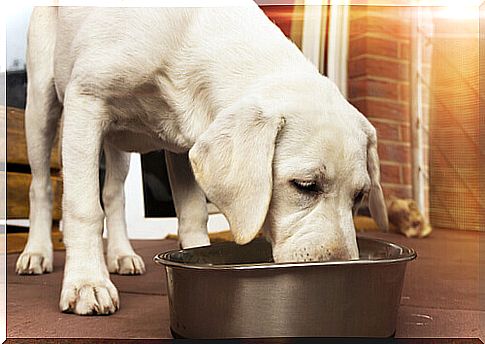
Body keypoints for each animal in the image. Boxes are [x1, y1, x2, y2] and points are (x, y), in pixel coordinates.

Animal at [17, 3, 388, 314]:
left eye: (360, 196)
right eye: (305, 185)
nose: (342, 267)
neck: (189, 35)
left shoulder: (183, 144)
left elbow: (194, 215)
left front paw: (196, 256)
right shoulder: (86, 99)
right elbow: (83, 209)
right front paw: (87, 284)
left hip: (117, 144)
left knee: (113, 194)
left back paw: (121, 254)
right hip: (42, 106)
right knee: (41, 186)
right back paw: (37, 253)